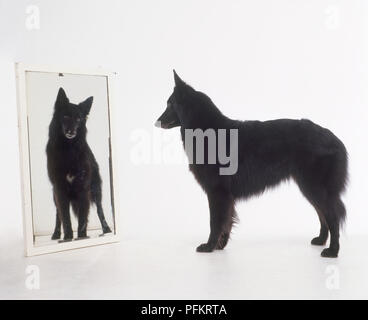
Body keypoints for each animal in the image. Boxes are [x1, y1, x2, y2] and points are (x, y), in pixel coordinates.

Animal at [46, 87, 111, 240]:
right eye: (65, 117)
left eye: (78, 119)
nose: (72, 131)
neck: (68, 149)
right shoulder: (59, 189)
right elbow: (65, 216)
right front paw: (68, 238)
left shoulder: (83, 188)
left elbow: (83, 217)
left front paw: (82, 236)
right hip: (55, 195)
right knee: (58, 214)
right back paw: (56, 234)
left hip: (95, 190)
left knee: (100, 209)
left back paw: (106, 229)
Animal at [155, 72, 348, 258]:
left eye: (170, 104)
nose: (156, 122)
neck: (206, 131)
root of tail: (335, 139)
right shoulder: (226, 196)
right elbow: (226, 221)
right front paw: (220, 246)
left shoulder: (217, 192)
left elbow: (215, 222)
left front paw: (209, 246)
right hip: (310, 188)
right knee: (323, 214)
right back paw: (321, 240)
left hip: (316, 188)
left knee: (332, 216)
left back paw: (333, 251)